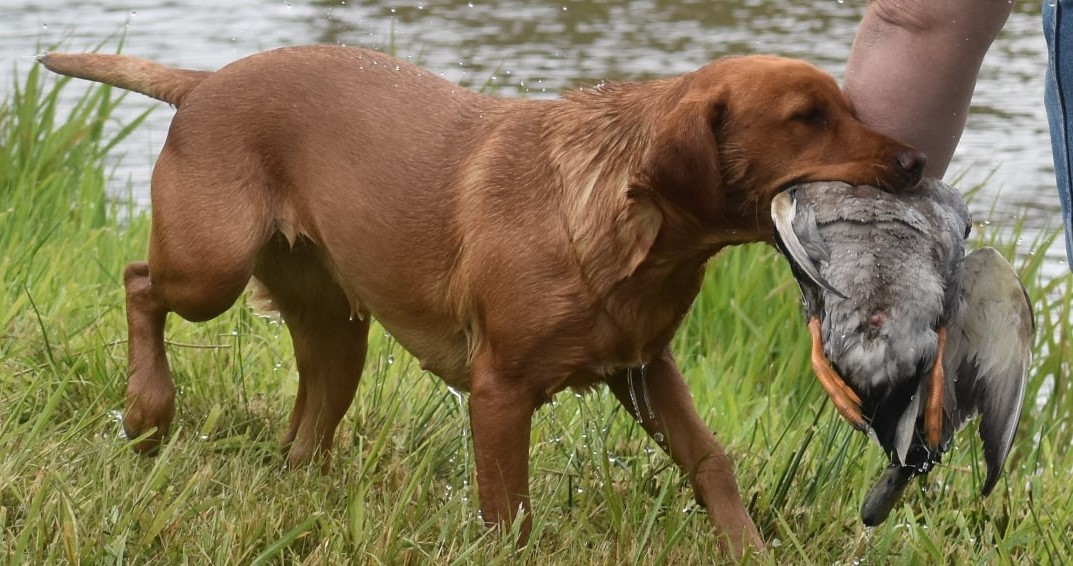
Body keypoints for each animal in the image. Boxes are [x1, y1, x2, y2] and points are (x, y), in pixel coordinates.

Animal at [41, 45, 927, 558]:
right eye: (807, 119)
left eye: (848, 108)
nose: (917, 163)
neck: (637, 229)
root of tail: (203, 80)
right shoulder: (499, 392)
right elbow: (510, 510)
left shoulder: (642, 368)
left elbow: (709, 459)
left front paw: (746, 548)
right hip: (209, 269)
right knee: (139, 282)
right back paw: (148, 409)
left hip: (336, 328)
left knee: (305, 424)